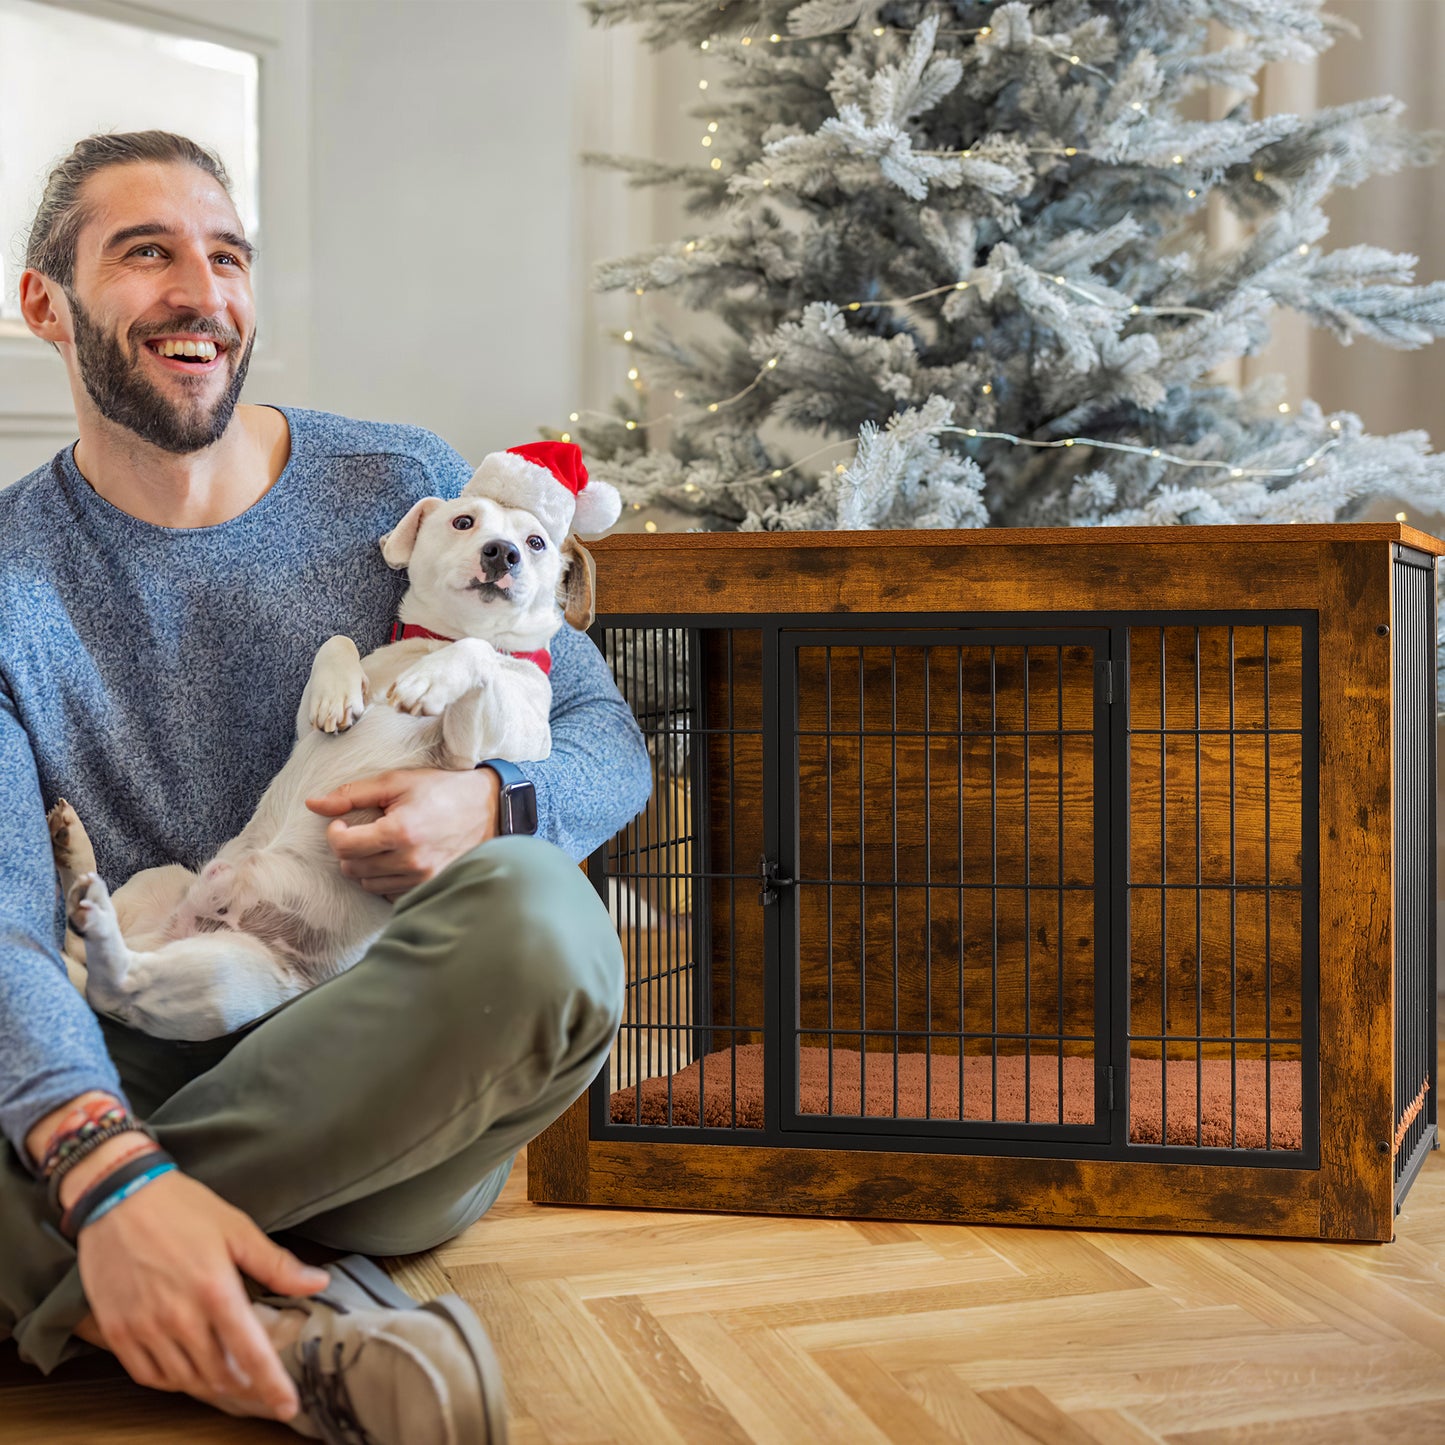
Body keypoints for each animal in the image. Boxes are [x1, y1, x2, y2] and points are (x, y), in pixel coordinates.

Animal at [43, 439, 621, 1040]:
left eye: (536, 542)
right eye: (464, 521)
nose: (502, 553)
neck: (438, 640)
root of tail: (174, 930)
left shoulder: (474, 747)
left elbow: (478, 655)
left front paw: (432, 680)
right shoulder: (309, 723)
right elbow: (336, 643)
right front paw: (338, 696)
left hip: (220, 975)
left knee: (116, 983)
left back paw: (90, 904)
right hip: (159, 887)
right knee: (89, 964)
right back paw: (75, 856)